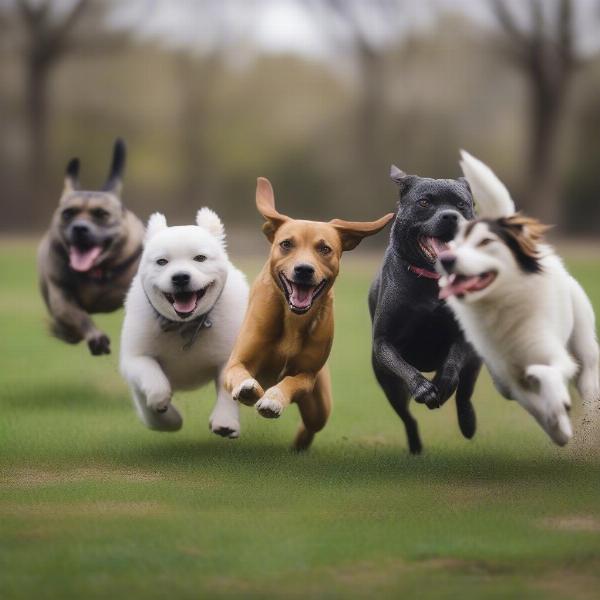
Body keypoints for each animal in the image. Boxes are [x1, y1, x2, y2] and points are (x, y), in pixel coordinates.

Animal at [38, 139, 145, 356]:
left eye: (101, 214)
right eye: (68, 213)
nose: (80, 228)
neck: (96, 270)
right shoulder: (61, 296)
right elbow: (78, 316)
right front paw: (96, 338)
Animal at [119, 209, 248, 438]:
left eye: (200, 258)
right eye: (162, 262)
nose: (180, 277)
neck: (185, 325)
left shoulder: (229, 357)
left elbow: (227, 389)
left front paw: (225, 421)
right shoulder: (134, 358)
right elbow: (151, 375)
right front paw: (161, 404)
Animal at [225, 178, 394, 450]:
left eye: (324, 248)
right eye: (286, 244)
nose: (304, 269)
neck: (293, 319)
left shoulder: (308, 376)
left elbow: (292, 381)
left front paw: (273, 399)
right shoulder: (237, 362)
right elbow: (239, 373)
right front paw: (248, 389)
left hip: (319, 406)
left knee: (312, 424)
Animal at [368, 166, 480, 452]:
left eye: (461, 204)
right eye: (424, 202)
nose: (450, 216)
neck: (432, 282)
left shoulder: (464, 337)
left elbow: (453, 362)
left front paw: (444, 382)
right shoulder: (383, 342)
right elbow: (401, 364)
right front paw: (423, 388)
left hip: (476, 361)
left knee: (464, 395)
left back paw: (467, 422)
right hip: (388, 385)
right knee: (408, 418)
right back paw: (415, 445)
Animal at [436, 152, 600, 448]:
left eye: (485, 242)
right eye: (455, 245)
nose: (446, 259)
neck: (500, 304)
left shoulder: (552, 354)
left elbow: (548, 372)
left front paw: (559, 406)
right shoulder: (509, 381)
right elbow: (536, 405)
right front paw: (558, 427)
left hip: (584, 346)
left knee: (589, 385)